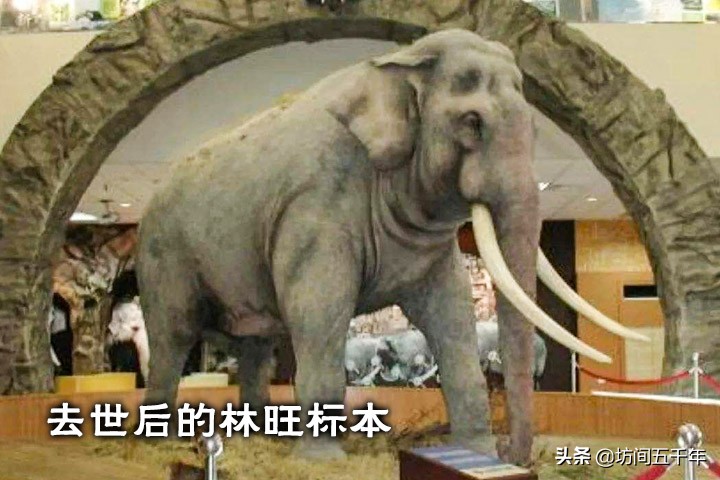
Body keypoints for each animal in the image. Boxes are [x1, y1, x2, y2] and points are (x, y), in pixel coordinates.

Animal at [136, 29, 645, 464]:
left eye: (538, 133)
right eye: (472, 122)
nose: (509, 452)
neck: (397, 62)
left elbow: (450, 311)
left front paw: (475, 452)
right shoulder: (316, 202)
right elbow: (318, 311)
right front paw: (322, 462)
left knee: (257, 347)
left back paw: (261, 436)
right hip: (163, 250)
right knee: (174, 335)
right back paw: (160, 440)